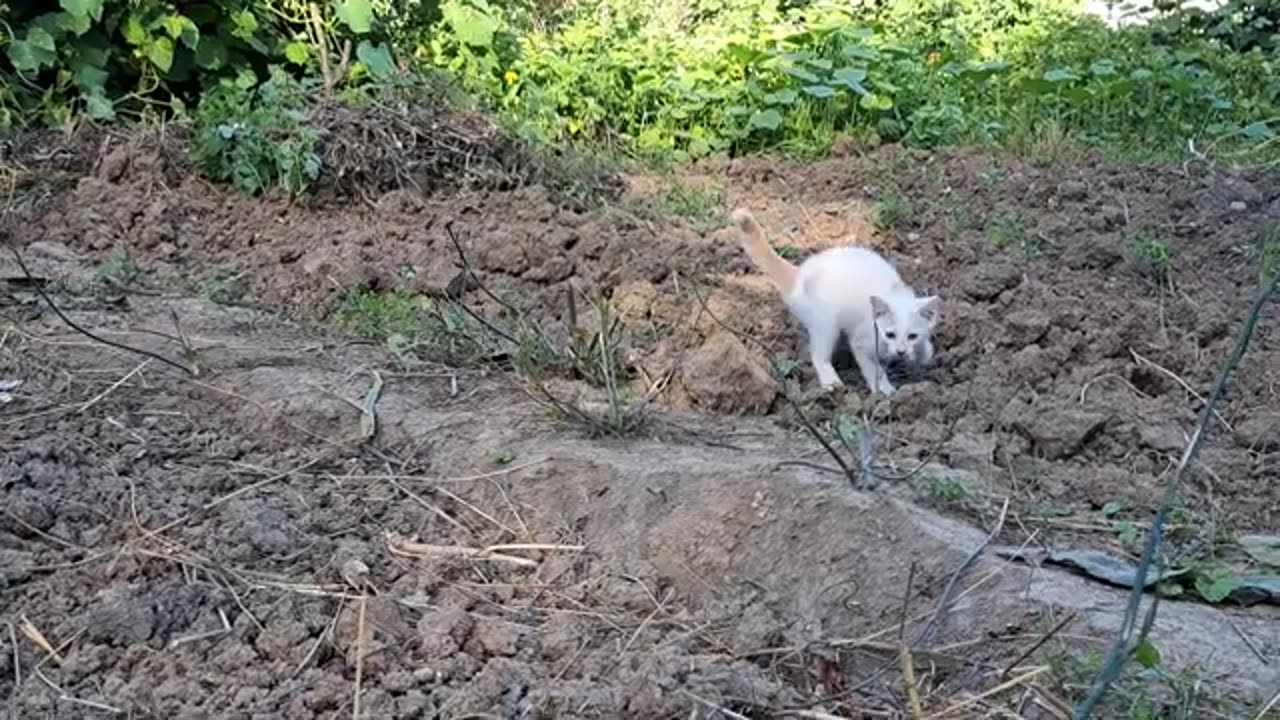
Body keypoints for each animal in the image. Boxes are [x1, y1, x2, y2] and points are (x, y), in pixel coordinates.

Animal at [732, 204, 942, 394]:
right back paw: (831, 381)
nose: (900, 351)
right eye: (889, 334)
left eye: (912, 336)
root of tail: (800, 274)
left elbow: (924, 349)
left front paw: (922, 355)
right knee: (818, 354)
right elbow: (874, 368)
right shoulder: (861, 341)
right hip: (826, 323)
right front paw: (884, 391)